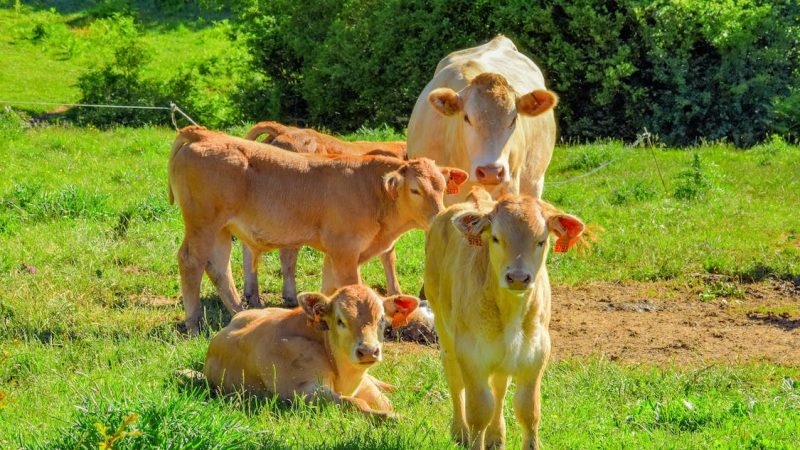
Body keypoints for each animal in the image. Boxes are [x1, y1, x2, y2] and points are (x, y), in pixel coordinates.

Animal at [202, 284, 418, 418]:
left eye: (381, 319)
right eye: (340, 320)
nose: (368, 351)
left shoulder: (363, 383)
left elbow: (385, 402)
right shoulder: (302, 391)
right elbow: (355, 403)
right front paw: (394, 418)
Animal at [241, 121, 410, 308]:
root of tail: (286, 130)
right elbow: (389, 255)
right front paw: (396, 293)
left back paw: (253, 296)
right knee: (287, 254)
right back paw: (289, 297)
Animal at [424, 188, 588, 448]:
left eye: (541, 240)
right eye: (495, 238)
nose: (518, 278)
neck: (511, 313)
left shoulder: (536, 354)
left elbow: (528, 410)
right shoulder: (471, 355)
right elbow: (479, 411)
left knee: (499, 387)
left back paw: (496, 436)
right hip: (443, 326)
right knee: (454, 378)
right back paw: (460, 432)